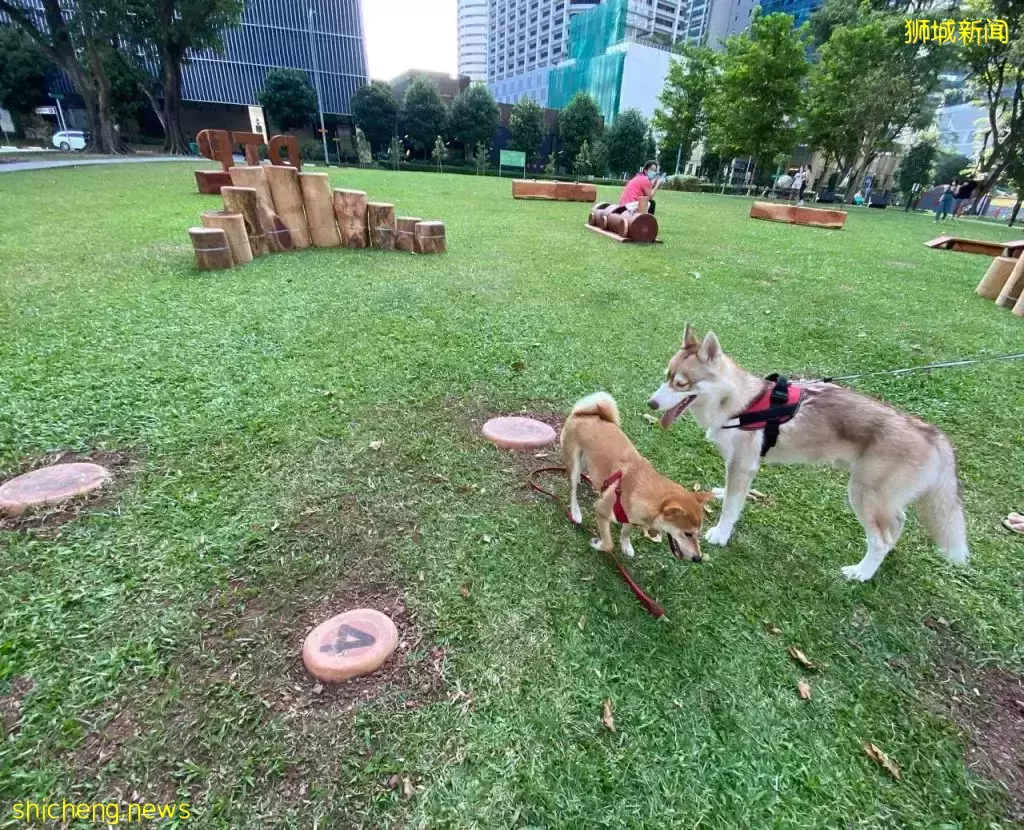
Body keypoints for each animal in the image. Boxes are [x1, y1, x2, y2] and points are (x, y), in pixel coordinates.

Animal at [561, 392, 712, 560]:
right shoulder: (600, 510)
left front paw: (626, 545)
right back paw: (575, 511)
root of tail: (584, 413)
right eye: (687, 534)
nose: (698, 558)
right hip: (572, 460)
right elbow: (608, 543)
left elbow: (626, 531)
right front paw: (598, 544)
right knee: (572, 489)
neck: (639, 490)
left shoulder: (632, 517)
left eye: (698, 533)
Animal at [647, 325, 966, 585]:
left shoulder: (742, 464)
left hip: (863, 494)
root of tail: (931, 433)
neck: (741, 403)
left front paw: (721, 534)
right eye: (666, 377)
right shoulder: (740, 467)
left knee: (880, 539)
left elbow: (731, 508)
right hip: (883, 499)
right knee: (897, 523)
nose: (651, 403)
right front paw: (723, 496)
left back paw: (862, 572)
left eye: (682, 384)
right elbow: (733, 495)